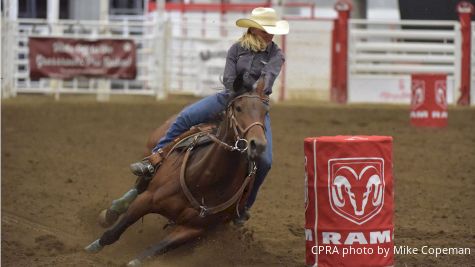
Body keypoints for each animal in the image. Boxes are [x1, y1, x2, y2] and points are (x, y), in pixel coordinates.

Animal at [85, 76, 270, 267]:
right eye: (239, 108)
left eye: (265, 111)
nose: (258, 145)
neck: (204, 179)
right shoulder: (147, 199)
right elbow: (115, 232)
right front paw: (91, 248)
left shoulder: (193, 230)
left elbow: (154, 250)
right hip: (150, 157)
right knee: (139, 185)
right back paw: (111, 212)